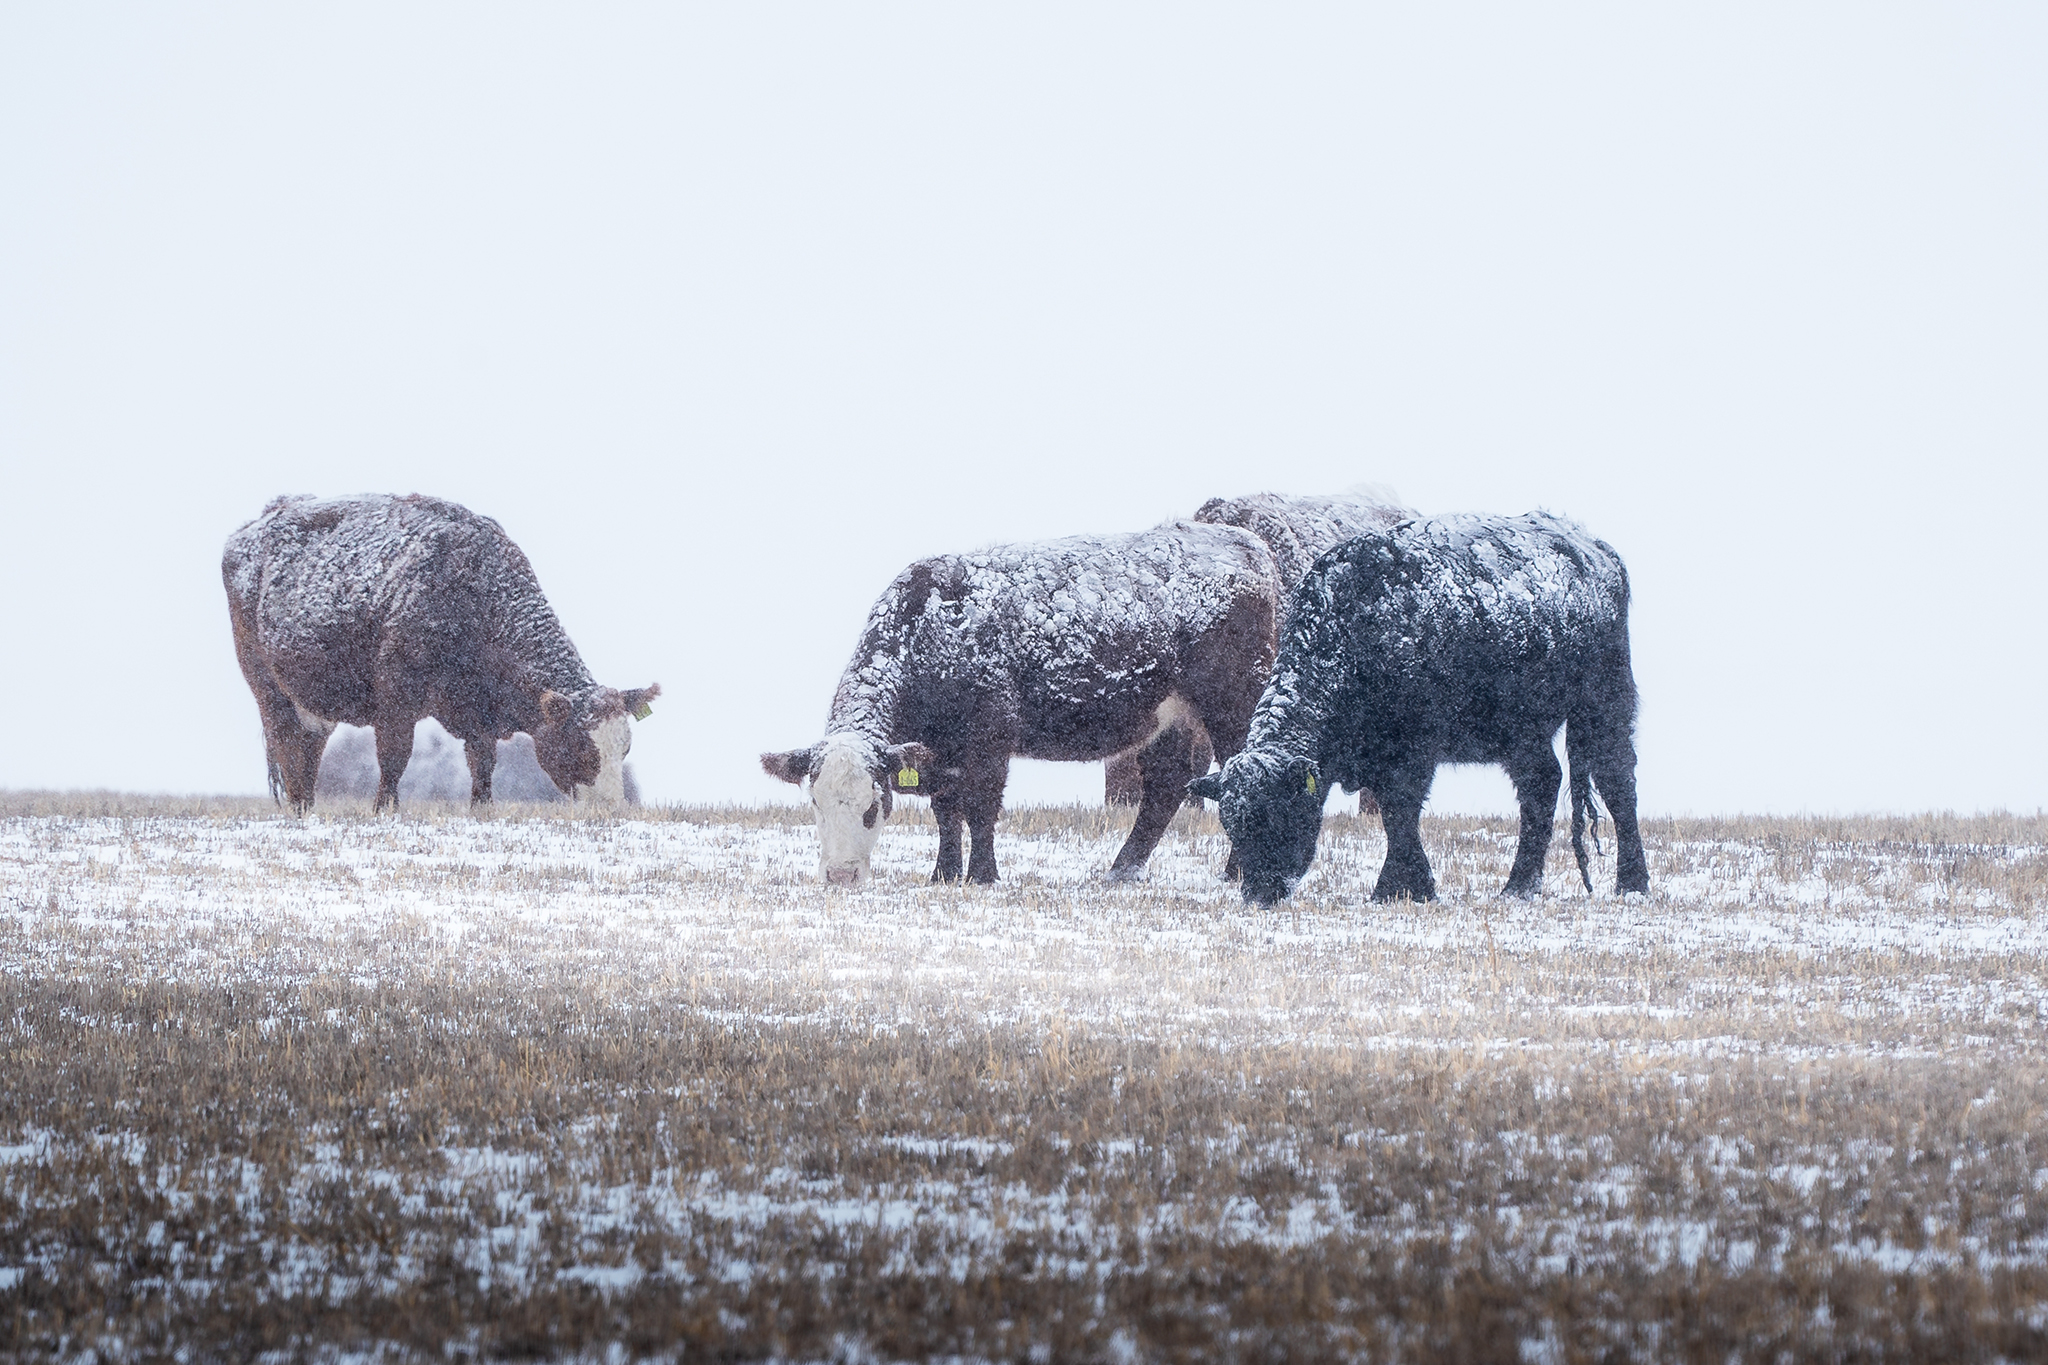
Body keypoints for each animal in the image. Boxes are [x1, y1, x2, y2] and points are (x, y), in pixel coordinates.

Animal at [223, 494, 659, 813]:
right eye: (580, 746)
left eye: (625, 747)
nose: (610, 808)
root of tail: (266, 515)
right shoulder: (397, 693)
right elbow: (395, 755)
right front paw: (385, 810)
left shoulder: (478, 711)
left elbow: (483, 764)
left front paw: (482, 809)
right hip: (266, 685)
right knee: (286, 742)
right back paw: (299, 808)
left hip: (313, 700)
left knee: (309, 746)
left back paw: (307, 805)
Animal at [762, 522, 1280, 885]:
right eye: (815, 802)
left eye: (873, 805)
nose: (841, 875)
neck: (931, 627)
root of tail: (1240, 540)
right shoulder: (938, 751)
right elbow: (946, 809)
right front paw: (944, 874)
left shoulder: (990, 736)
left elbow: (980, 807)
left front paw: (982, 875)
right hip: (1168, 716)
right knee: (1166, 786)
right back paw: (1122, 870)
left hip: (1235, 702)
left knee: (1237, 771)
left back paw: (1235, 870)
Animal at [1188, 512, 1648, 906]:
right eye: (1232, 825)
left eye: (1283, 816)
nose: (1260, 894)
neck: (1351, 627)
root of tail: (1595, 550)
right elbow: (1397, 817)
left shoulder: (1410, 754)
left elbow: (1401, 814)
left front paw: (1401, 888)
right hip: (1521, 733)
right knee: (1542, 784)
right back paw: (1518, 887)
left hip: (1604, 702)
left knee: (1617, 780)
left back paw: (1632, 884)